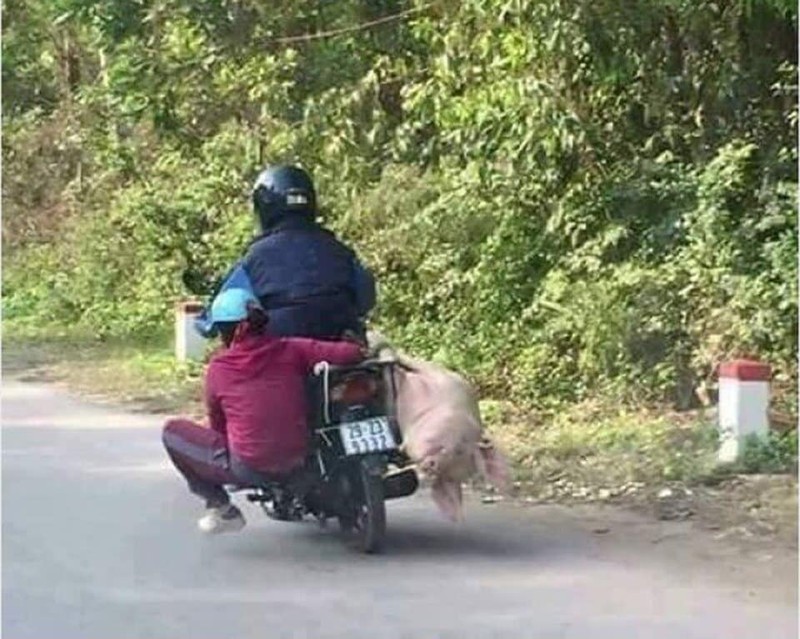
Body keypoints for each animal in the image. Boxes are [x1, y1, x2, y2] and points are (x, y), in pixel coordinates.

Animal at [368, 332, 510, 524]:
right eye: (459, 448)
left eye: (448, 474)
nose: (431, 466)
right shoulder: (442, 379)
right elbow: (400, 358)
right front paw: (375, 341)